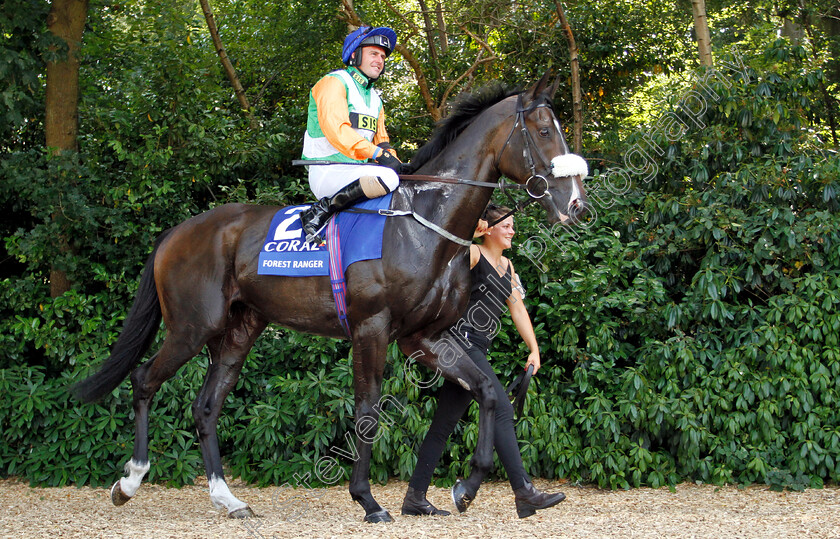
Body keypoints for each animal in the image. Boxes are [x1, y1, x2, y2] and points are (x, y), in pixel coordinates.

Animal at [72, 73, 588, 524]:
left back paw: (228, 499)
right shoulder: (372, 329)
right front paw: (368, 500)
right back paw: (130, 482)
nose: (577, 204)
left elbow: (485, 390)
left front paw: (468, 485)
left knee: (206, 406)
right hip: (191, 328)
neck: (424, 222)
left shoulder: (424, 337)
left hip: (238, 332)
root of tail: (176, 232)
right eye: (544, 131)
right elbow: (367, 412)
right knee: (144, 380)